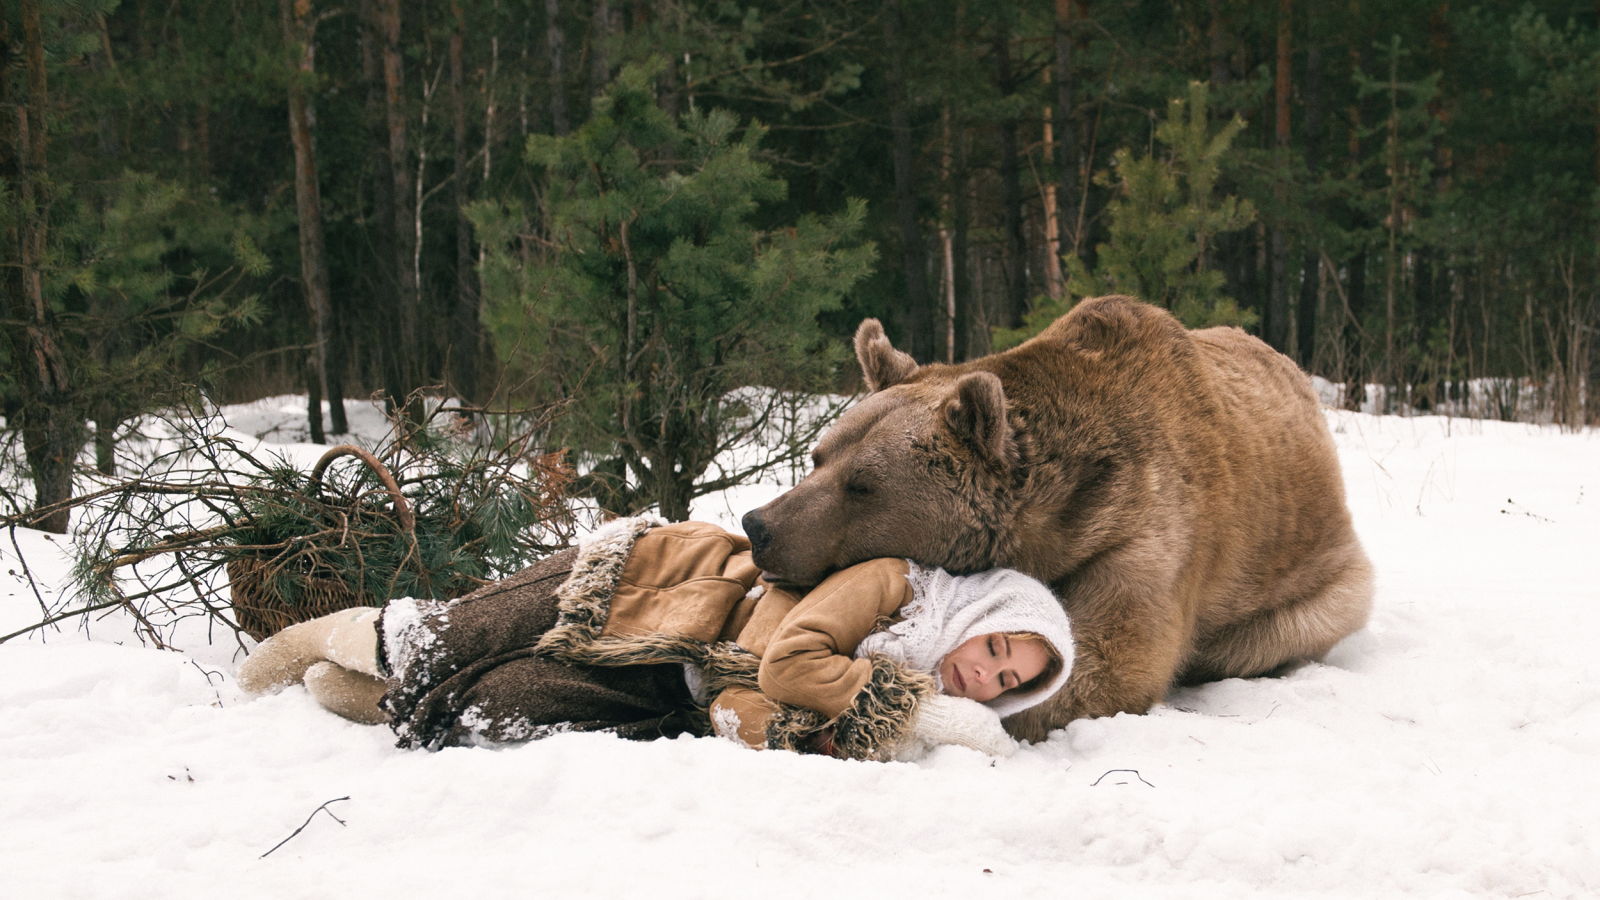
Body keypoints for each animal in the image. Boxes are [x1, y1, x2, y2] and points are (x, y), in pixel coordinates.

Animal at [739, 297, 1376, 739]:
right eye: (819, 457)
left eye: (863, 485)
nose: (759, 525)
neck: (1054, 524)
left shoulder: (1143, 533)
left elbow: (1106, 663)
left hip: (1312, 586)